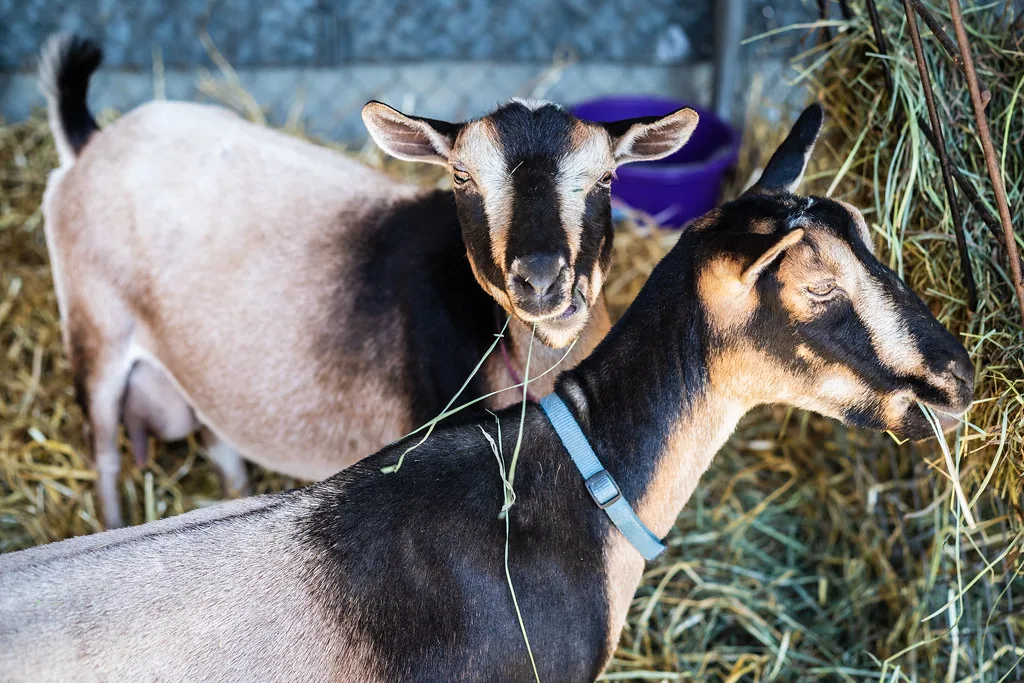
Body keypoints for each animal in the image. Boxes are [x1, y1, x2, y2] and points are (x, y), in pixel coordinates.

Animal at [37, 35, 699, 528]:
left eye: (607, 179)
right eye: (462, 177)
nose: (540, 278)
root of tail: (92, 143)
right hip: (95, 323)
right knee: (103, 450)